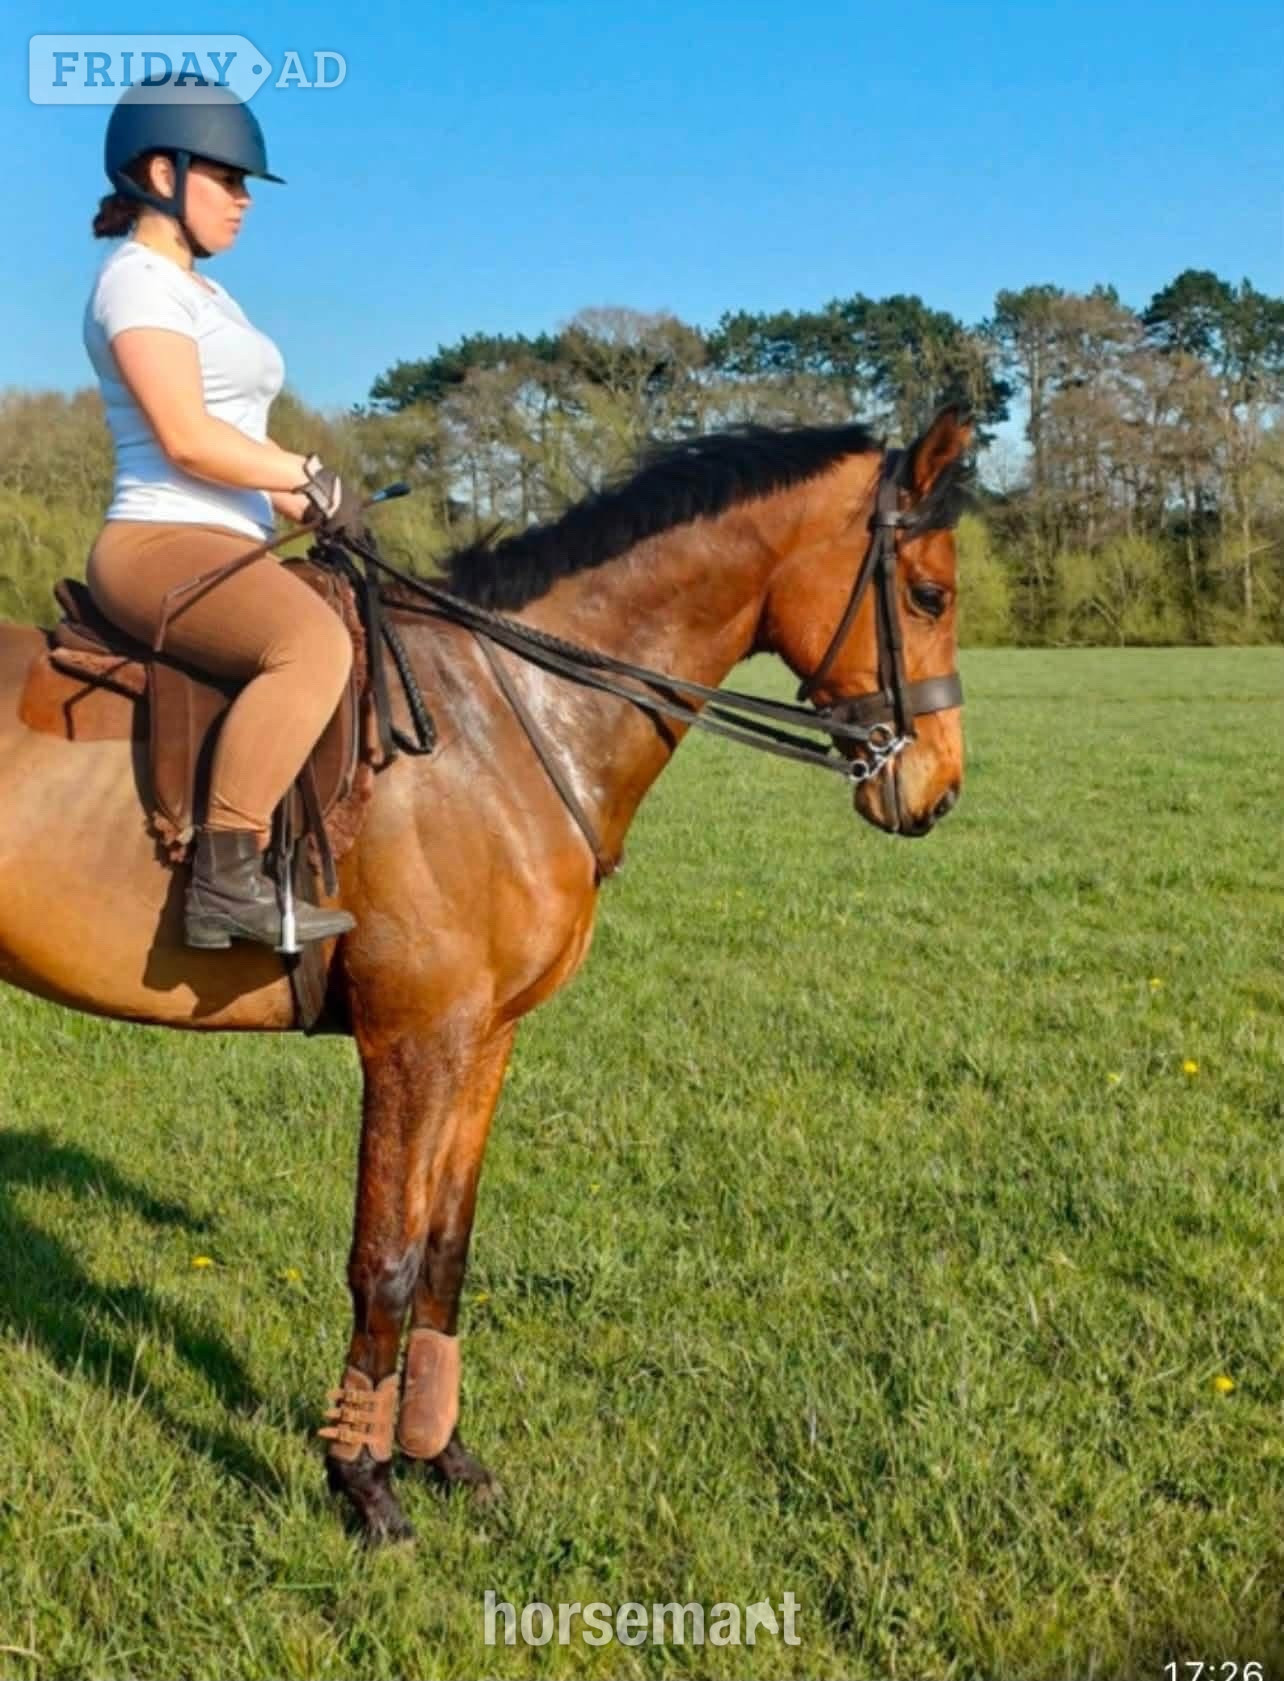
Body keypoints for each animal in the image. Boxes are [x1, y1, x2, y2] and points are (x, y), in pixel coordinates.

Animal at [0, 403, 972, 1542]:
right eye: (930, 594)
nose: (937, 788)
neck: (511, 718)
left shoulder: (485, 1037)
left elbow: (446, 1246)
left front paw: (439, 1454)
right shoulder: (412, 1040)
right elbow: (383, 1258)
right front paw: (363, 1482)